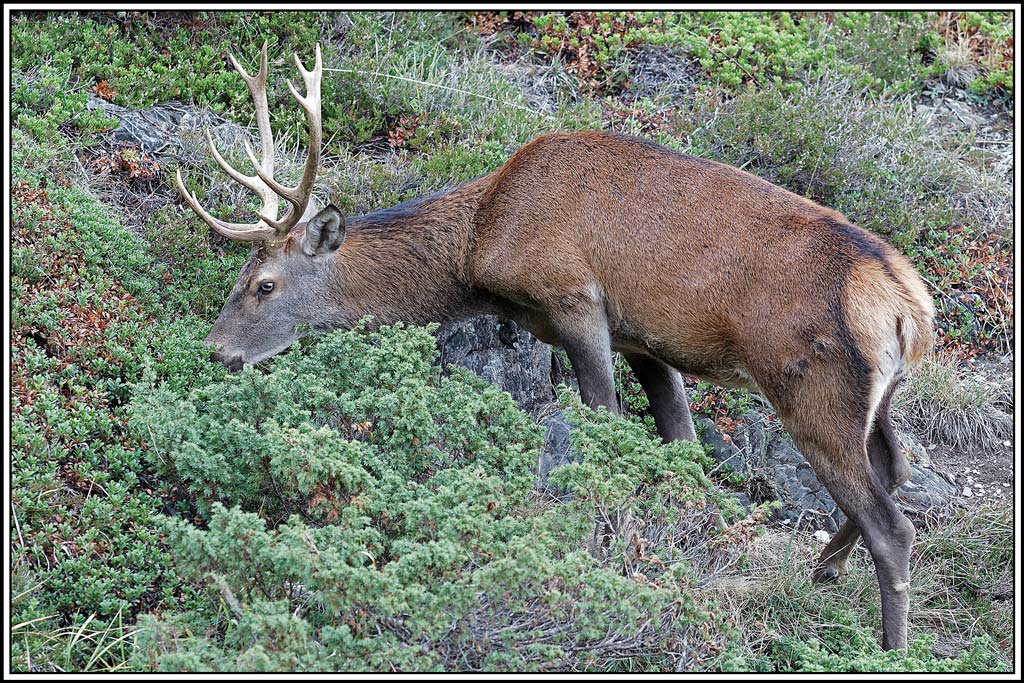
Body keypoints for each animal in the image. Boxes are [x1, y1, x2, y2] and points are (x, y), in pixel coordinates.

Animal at [175, 43, 935, 651]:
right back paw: (823, 569)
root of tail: (910, 308)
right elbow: (681, 444)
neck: (481, 246)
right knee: (895, 468)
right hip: (876, 398)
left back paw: (889, 646)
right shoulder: (643, 338)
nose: (215, 351)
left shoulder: (575, 298)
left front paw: (604, 552)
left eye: (264, 284)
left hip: (811, 387)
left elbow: (604, 425)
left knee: (892, 524)